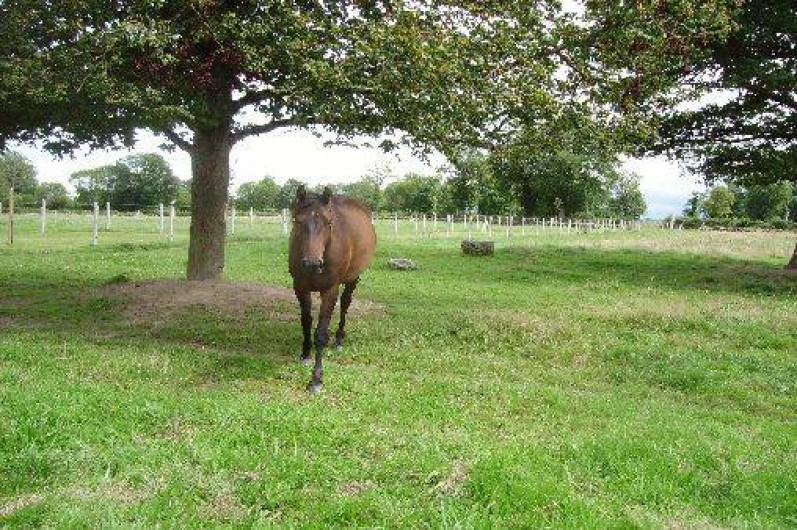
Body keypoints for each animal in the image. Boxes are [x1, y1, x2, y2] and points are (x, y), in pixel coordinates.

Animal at [290, 186, 376, 392]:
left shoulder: (330, 290)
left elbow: (321, 334)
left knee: (345, 304)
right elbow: (306, 321)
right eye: (297, 220)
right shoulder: (300, 287)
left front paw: (316, 380)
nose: (312, 264)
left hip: (353, 279)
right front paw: (305, 354)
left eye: (328, 222)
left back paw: (338, 340)